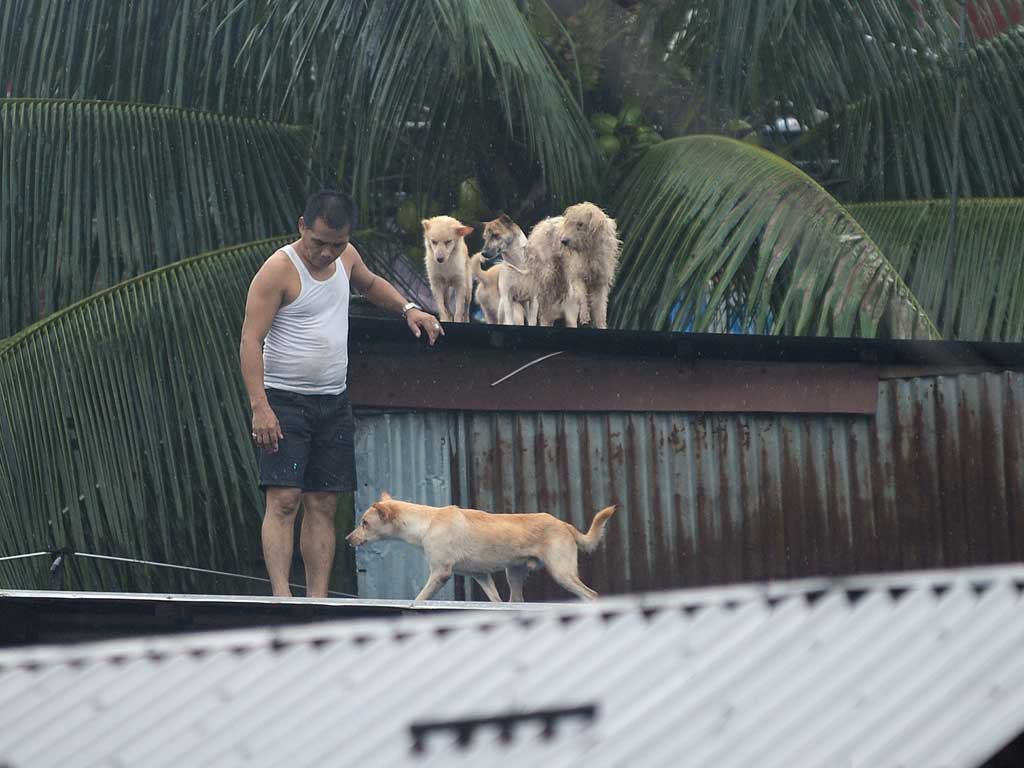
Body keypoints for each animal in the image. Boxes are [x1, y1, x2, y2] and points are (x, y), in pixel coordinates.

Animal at [344, 495, 614, 606]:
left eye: (364, 523)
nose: (347, 539)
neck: (426, 522)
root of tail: (565, 525)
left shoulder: (440, 574)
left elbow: (419, 598)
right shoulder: (480, 576)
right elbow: (495, 601)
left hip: (561, 573)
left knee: (591, 595)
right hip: (514, 574)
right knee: (515, 601)